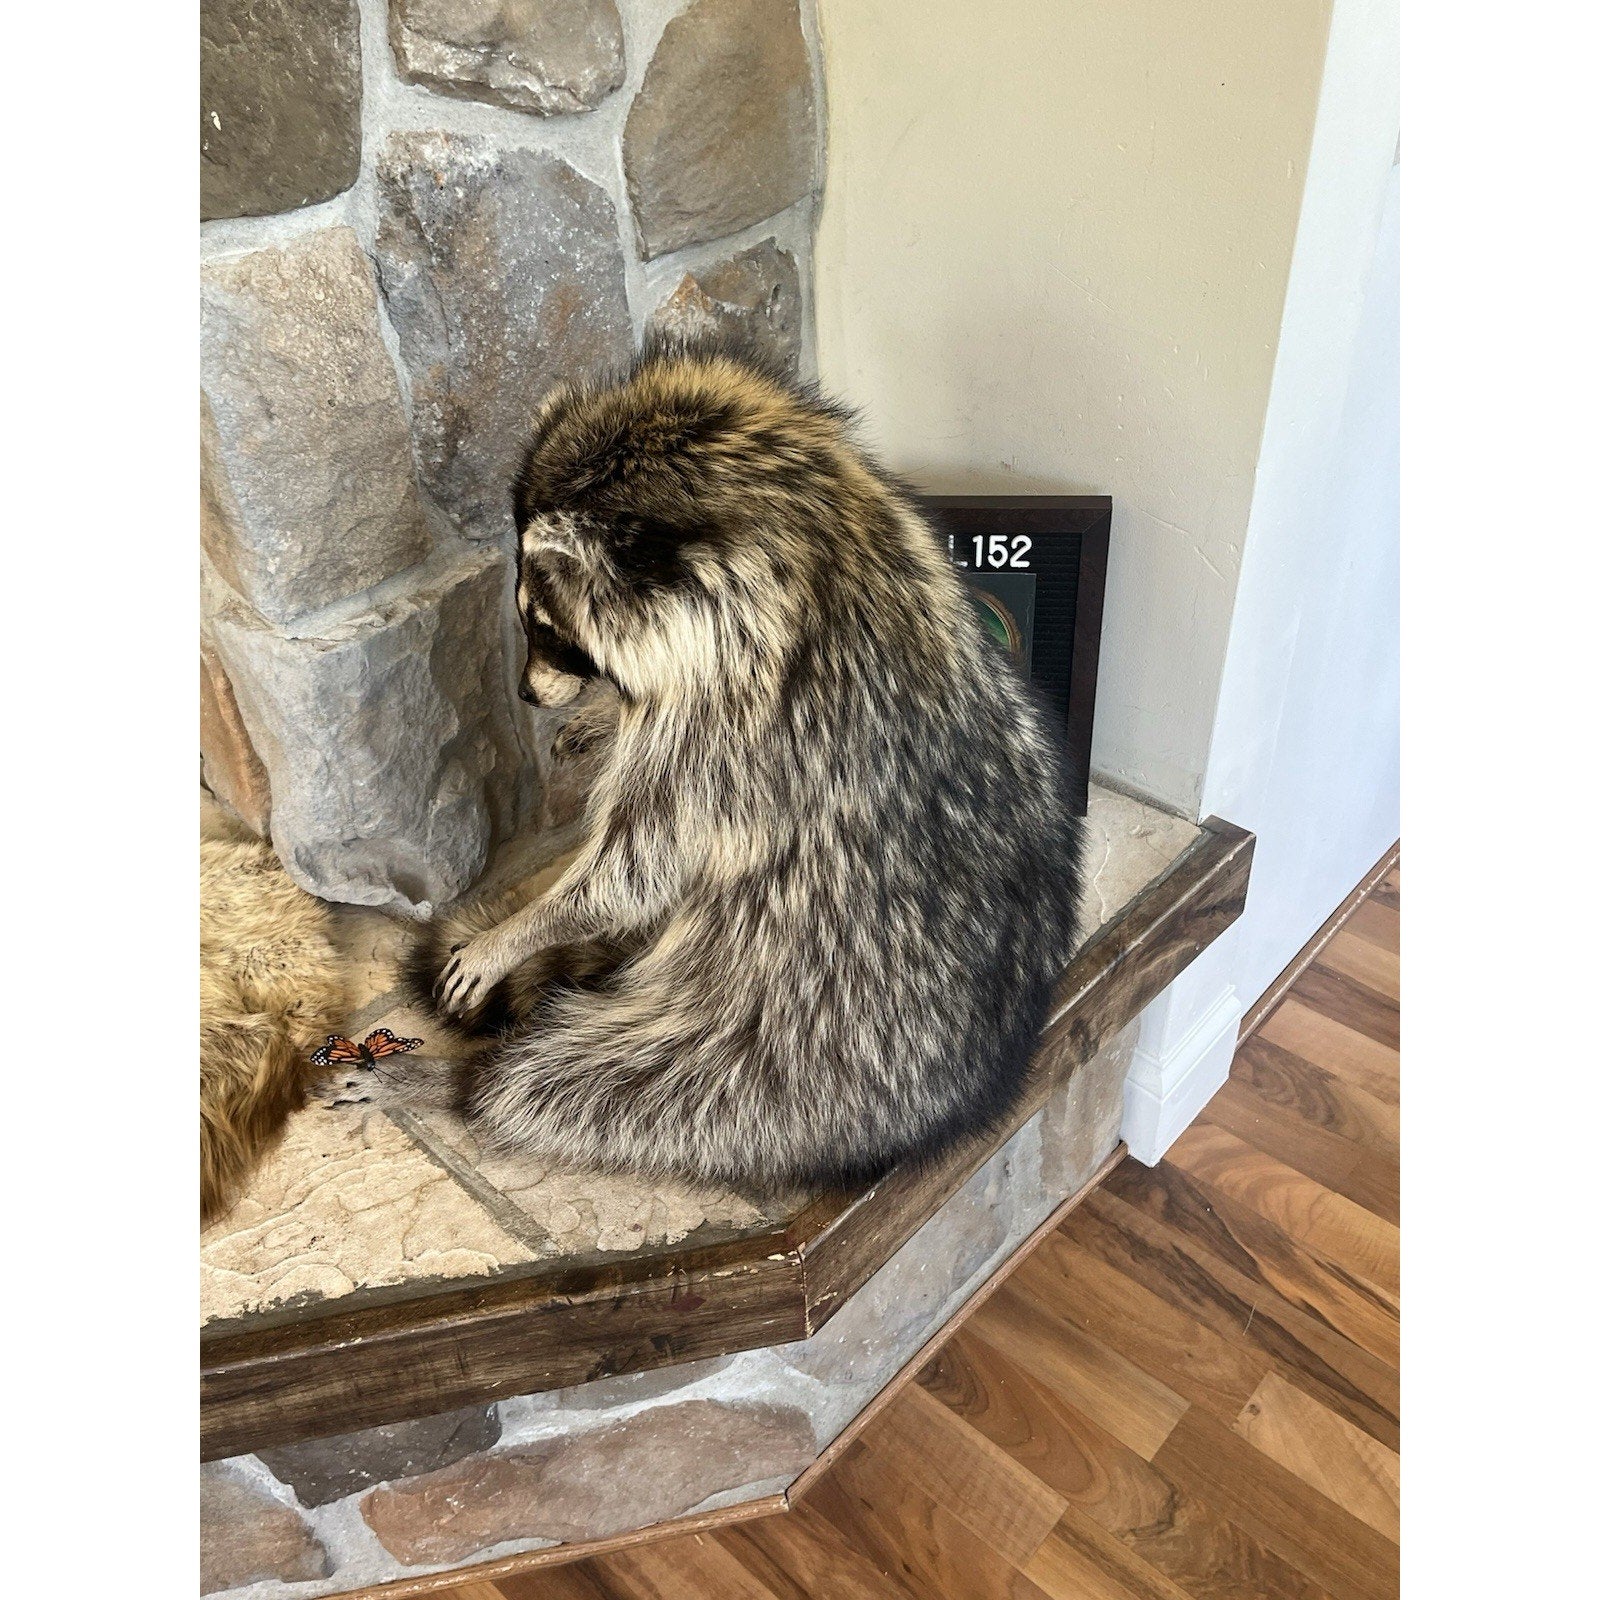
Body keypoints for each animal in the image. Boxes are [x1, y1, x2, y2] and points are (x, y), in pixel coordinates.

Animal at [377, 340, 1084, 1191]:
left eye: (546, 628)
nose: (526, 692)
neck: (815, 536)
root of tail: (979, 1083)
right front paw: (602, 719)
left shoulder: (738, 730)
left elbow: (635, 870)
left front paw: (523, 928)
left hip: (784, 1058)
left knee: (594, 1088)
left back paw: (464, 1083)